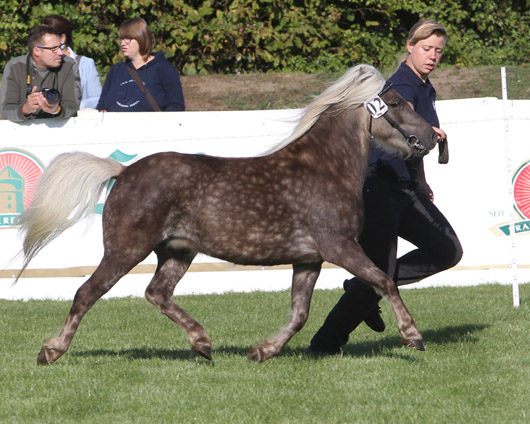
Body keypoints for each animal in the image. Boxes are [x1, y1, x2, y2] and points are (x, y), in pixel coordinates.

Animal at [17, 63, 438, 364]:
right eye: (396, 104)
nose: (432, 138)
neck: (325, 167)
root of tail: (123, 171)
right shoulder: (340, 247)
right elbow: (384, 280)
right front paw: (413, 336)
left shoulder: (309, 259)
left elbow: (299, 314)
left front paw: (262, 350)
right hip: (125, 249)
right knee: (87, 292)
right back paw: (51, 351)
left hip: (178, 251)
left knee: (157, 293)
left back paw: (202, 343)